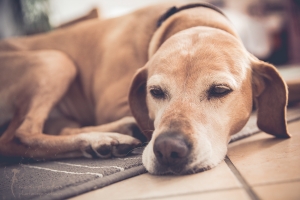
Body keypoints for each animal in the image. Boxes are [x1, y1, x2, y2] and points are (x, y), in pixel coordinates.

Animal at [0, 3, 290, 175]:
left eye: (219, 90)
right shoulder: (109, 105)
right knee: (18, 136)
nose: (168, 150)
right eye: (156, 92)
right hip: (55, 60)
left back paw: (108, 138)